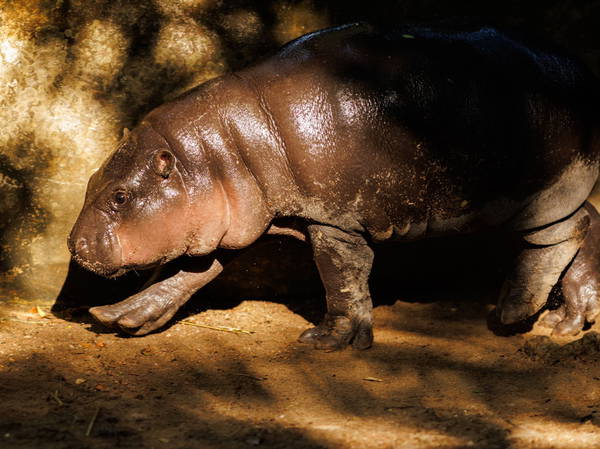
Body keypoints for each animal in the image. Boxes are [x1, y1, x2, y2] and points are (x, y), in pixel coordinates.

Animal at [67, 22, 600, 348]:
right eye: (91, 179)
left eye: (120, 196)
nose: (75, 244)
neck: (221, 150)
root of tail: (581, 66)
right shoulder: (231, 221)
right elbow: (184, 273)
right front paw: (118, 317)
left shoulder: (332, 219)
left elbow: (341, 278)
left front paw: (327, 342)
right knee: (587, 220)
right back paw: (566, 322)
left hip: (540, 192)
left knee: (557, 237)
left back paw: (509, 315)